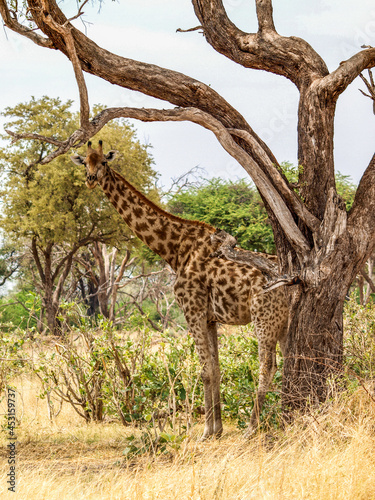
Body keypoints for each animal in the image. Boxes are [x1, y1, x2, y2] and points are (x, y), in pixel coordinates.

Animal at [71, 142, 288, 438]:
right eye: (85, 162)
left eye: (104, 162)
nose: (91, 179)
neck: (173, 249)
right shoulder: (210, 318)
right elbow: (216, 368)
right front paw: (216, 428)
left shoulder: (192, 310)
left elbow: (204, 370)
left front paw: (207, 431)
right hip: (283, 321)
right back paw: (284, 418)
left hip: (264, 318)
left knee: (267, 366)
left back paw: (253, 428)